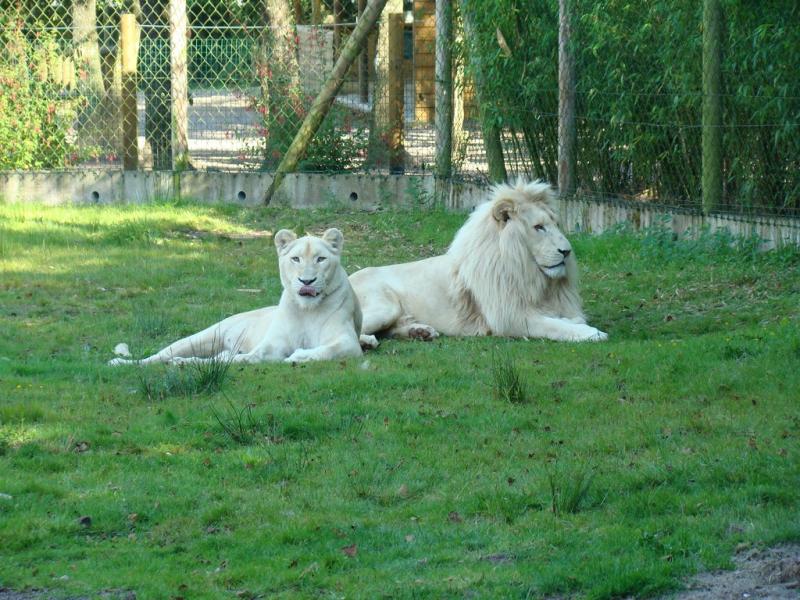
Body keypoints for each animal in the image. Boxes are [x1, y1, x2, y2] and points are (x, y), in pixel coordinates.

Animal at [109, 228, 378, 366]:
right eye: (296, 259)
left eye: (321, 259)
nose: (307, 282)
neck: (307, 310)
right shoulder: (272, 345)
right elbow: (251, 357)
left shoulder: (347, 341)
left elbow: (326, 350)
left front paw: (299, 356)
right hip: (203, 337)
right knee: (159, 356)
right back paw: (125, 363)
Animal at [348, 179, 607, 342]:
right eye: (538, 227)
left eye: (555, 224)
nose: (567, 251)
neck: (531, 275)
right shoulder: (509, 317)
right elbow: (554, 326)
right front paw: (592, 333)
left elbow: (567, 319)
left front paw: (579, 324)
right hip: (384, 307)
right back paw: (367, 343)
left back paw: (420, 332)